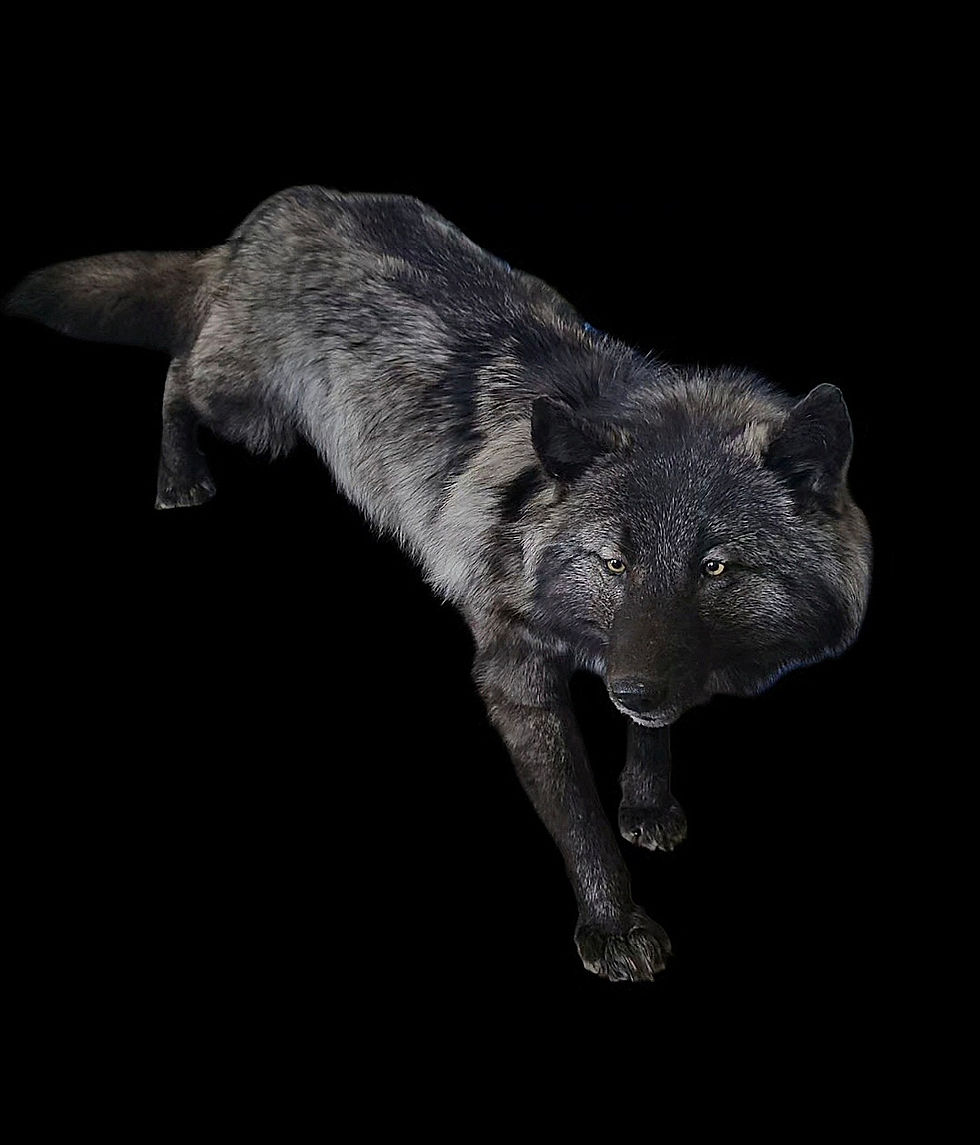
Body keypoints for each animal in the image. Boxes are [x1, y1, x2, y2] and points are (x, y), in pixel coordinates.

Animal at [6, 186, 872, 981]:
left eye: (715, 567)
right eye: (614, 562)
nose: (630, 688)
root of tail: (271, 210)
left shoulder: (648, 661)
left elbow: (652, 732)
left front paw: (647, 805)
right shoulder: (515, 674)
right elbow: (579, 820)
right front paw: (612, 926)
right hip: (247, 411)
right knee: (179, 372)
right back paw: (179, 480)